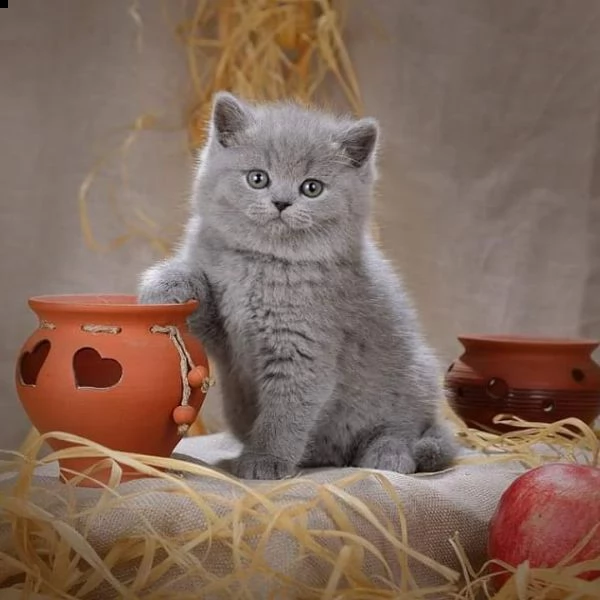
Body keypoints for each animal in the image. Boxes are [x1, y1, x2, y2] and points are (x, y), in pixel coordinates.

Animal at [138, 91, 458, 480]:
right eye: (257, 178)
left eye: (312, 188)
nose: (281, 202)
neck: (260, 262)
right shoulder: (226, 336)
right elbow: (199, 303)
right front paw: (165, 285)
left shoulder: (302, 349)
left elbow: (284, 414)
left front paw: (265, 461)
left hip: (417, 375)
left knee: (410, 429)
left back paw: (388, 455)